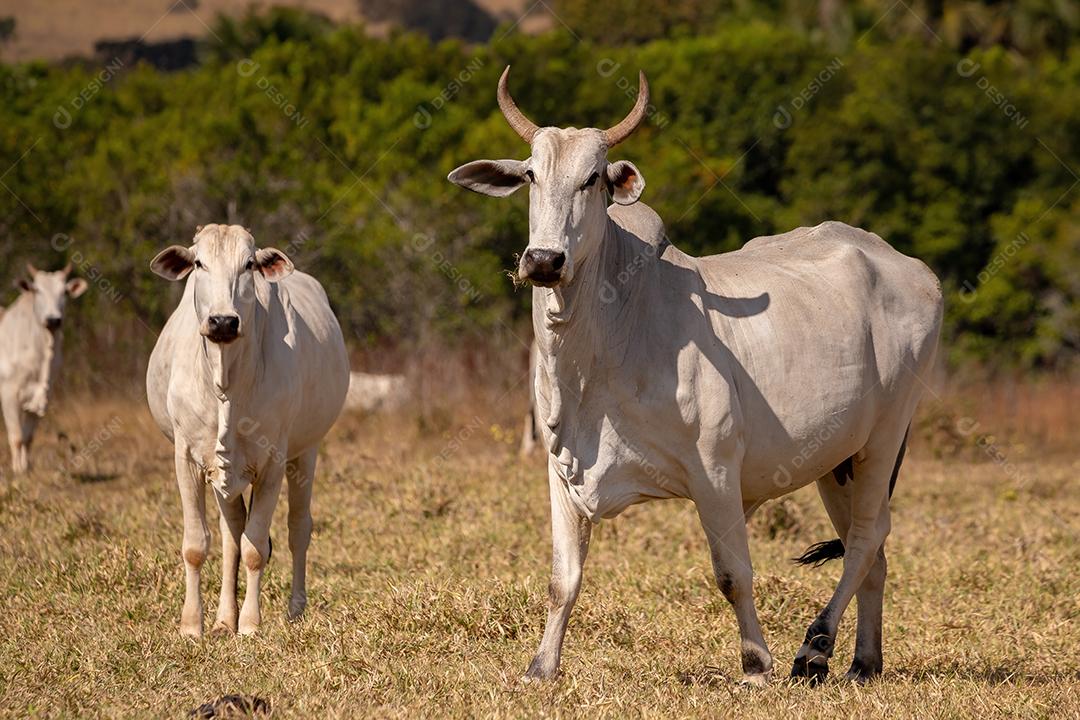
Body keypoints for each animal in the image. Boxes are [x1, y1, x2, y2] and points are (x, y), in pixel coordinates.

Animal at [0, 263, 88, 472]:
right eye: (37, 290)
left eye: (64, 291)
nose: (53, 319)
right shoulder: (8, 393)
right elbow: (16, 437)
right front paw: (17, 470)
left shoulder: (43, 397)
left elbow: (27, 437)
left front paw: (26, 467)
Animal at [146, 225, 349, 634]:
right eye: (199, 263)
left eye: (249, 264)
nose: (223, 322)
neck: (226, 379)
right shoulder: (187, 458)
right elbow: (198, 544)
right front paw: (193, 625)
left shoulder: (272, 463)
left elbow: (256, 547)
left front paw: (251, 624)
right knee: (231, 536)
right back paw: (225, 618)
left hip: (306, 452)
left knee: (297, 529)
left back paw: (295, 609)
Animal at [447, 69, 937, 686]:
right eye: (532, 174)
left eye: (592, 179)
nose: (543, 261)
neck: (605, 343)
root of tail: (913, 269)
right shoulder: (562, 472)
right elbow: (564, 581)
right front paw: (541, 667)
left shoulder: (716, 471)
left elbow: (733, 574)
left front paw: (755, 665)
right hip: (837, 458)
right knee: (868, 550)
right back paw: (863, 662)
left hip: (885, 435)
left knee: (867, 540)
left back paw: (814, 647)